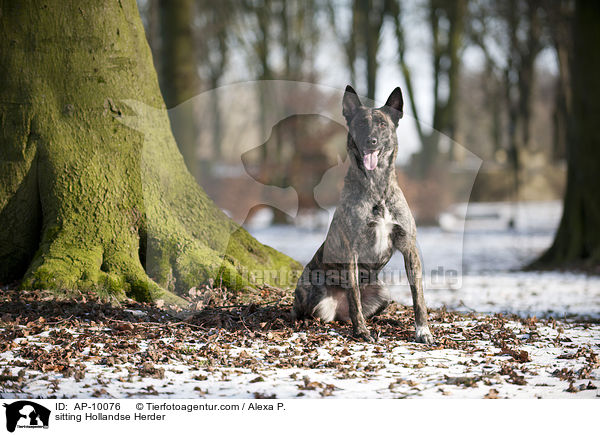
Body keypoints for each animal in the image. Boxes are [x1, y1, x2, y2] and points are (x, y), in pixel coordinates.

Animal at [292, 85, 434, 344]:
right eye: (359, 124)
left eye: (382, 124)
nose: (371, 140)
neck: (377, 188)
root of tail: (336, 311)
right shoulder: (351, 251)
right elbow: (354, 295)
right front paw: (361, 332)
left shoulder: (409, 248)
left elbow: (418, 296)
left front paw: (423, 330)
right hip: (310, 286)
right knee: (303, 310)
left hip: (383, 293)